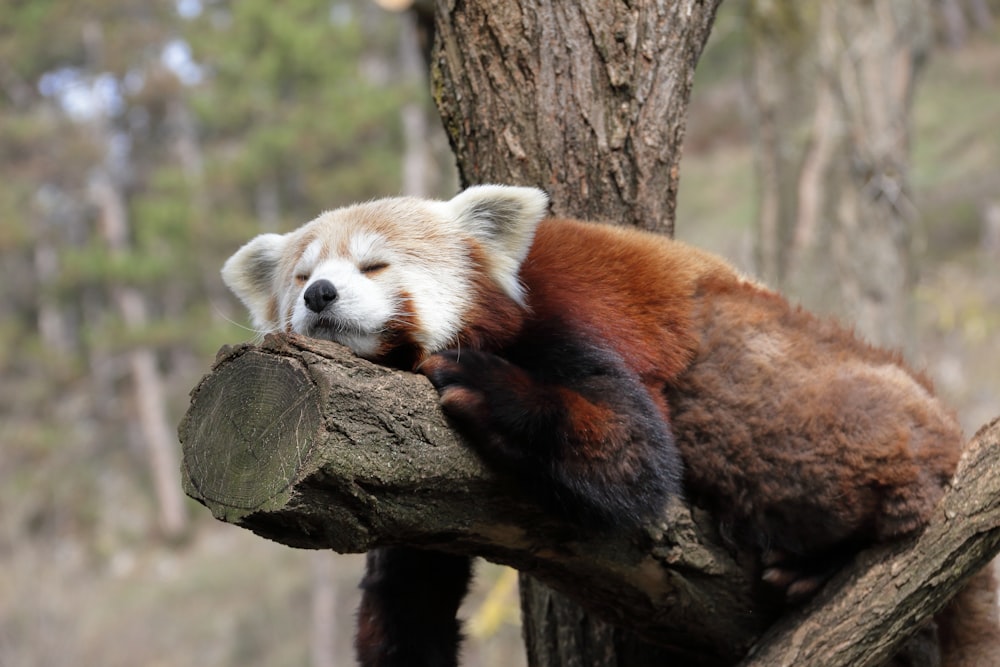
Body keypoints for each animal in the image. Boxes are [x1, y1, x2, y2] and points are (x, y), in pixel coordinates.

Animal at [223, 184, 996, 667]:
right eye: (302, 278)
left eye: (374, 264)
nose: (323, 294)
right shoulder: (405, 480)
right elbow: (409, 586)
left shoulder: (565, 316)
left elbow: (635, 457)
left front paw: (486, 387)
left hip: (759, 370)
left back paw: (821, 557)